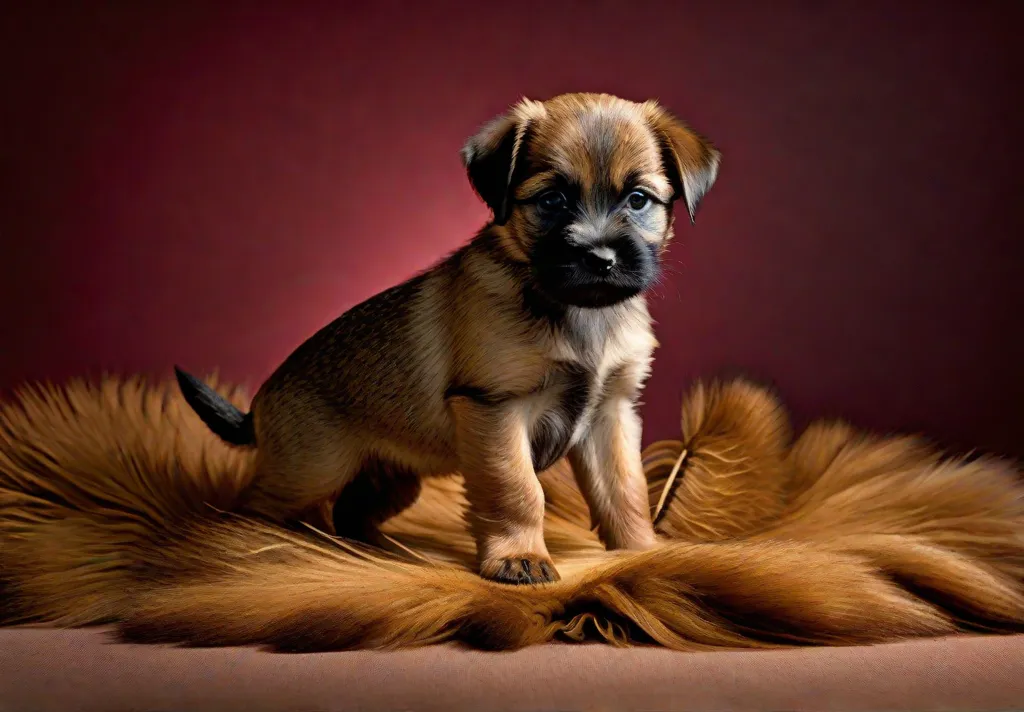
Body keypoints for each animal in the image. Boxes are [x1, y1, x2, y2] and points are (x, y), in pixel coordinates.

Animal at [176, 93, 720, 585]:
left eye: (638, 199)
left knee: (350, 514)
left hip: (391, 477)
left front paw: (642, 553)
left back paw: (383, 555)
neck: (578, 314)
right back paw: (248, 549)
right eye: (552, 201)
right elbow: (519, 491)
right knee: (254, 507)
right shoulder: (496, 409)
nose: (600, 257)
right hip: (312, 469)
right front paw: (520, 558)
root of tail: (258, 409)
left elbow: (625, 492)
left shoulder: (611, 416)